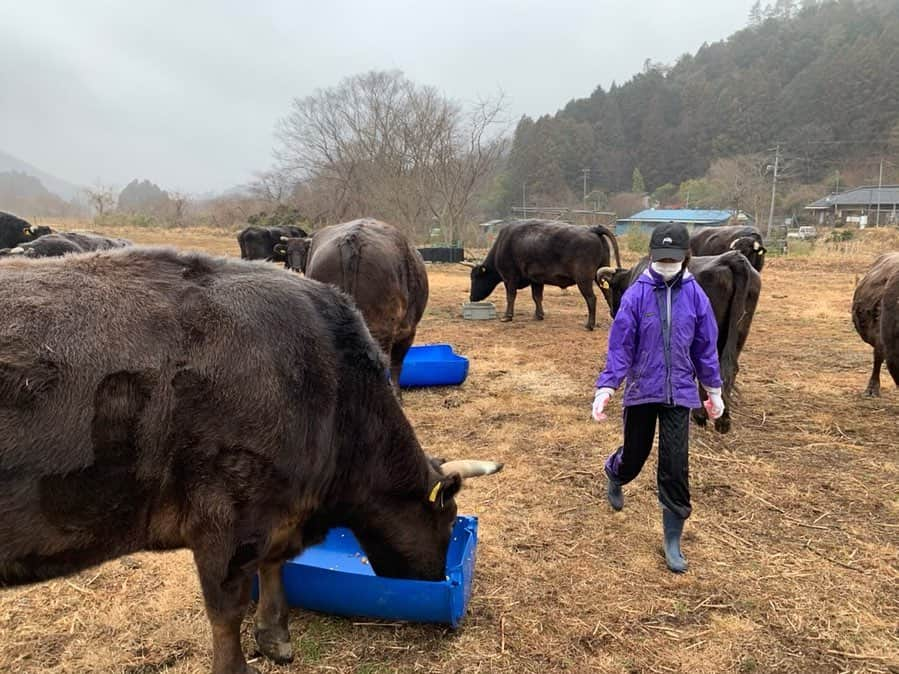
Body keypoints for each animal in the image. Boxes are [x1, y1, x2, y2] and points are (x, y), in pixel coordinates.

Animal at [0, 248, 502, 672]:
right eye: (447, 517)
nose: (435, 577)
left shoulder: (276, 512)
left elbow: (274, 567)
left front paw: (274, 634)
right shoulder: (226, 519)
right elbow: (227, 609)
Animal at [464, 219, 620, 330]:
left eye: (475, 277)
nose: (471, 297)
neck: (503, 244)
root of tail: (592, 229)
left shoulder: (510, 279)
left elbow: (511, 297)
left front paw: (507, 317)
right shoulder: (536, 280)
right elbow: (537, 297)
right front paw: (538, 315)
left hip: (584, 279)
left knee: (591, 299)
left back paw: (589, 325)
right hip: (599, 274)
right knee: (608, 295)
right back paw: (613, 317)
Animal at [596, 249, 760, 434]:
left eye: (611, 291)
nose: (613, 312)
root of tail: (734, 258)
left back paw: (700, 415)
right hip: (739, 332)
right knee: (727, 369)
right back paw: (722, 420)